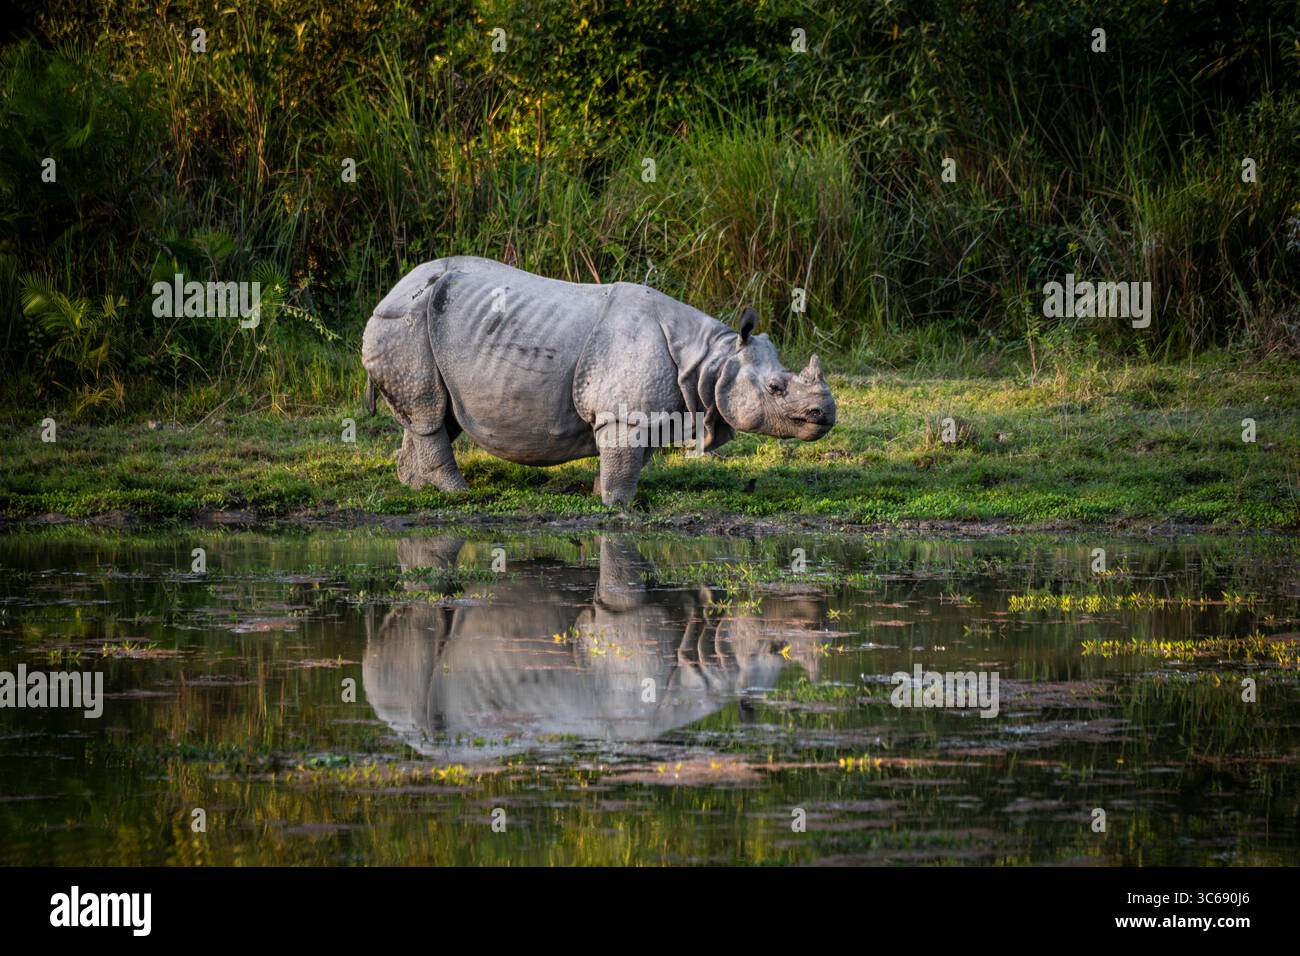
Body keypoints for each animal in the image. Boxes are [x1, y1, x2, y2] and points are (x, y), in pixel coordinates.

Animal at [361, 256, 836, 505]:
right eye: (776, 389)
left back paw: (415, 488)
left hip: (421, 325)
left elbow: (632, 457)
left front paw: (599, 495)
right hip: (405, 322)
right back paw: (458, 494)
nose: (825, 414)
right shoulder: (624, 412)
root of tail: (391, 290)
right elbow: (625, 459)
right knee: (428, 411)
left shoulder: (650, 410)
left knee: (435, 415)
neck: (711, 359)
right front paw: (619, 506)